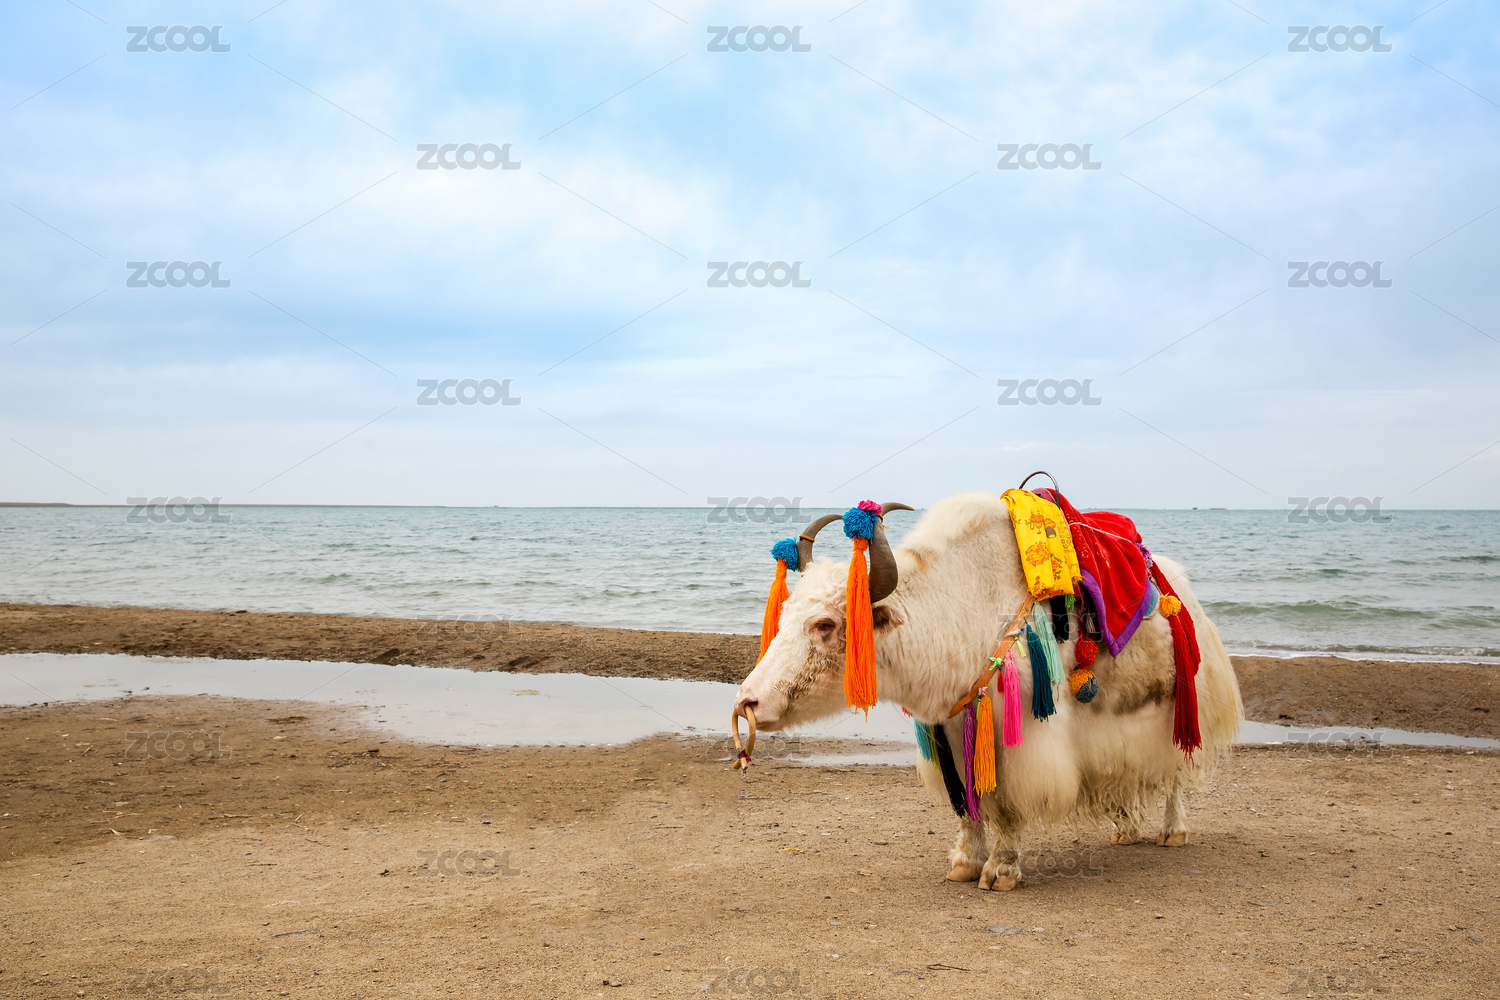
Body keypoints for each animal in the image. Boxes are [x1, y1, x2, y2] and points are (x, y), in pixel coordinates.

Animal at [733, 491, 1243, 891]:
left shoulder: (1020, 739)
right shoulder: (950, 729)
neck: (956, 610)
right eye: (785, 613)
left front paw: (1001, 870)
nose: (747, 702)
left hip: (1177, 706)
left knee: (1176, 771)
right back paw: (1124, 828)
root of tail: (1183, 589)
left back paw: (1172, 831)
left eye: (824, 624)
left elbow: (1008, 806)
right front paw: (964, 863)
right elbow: (966, 803)